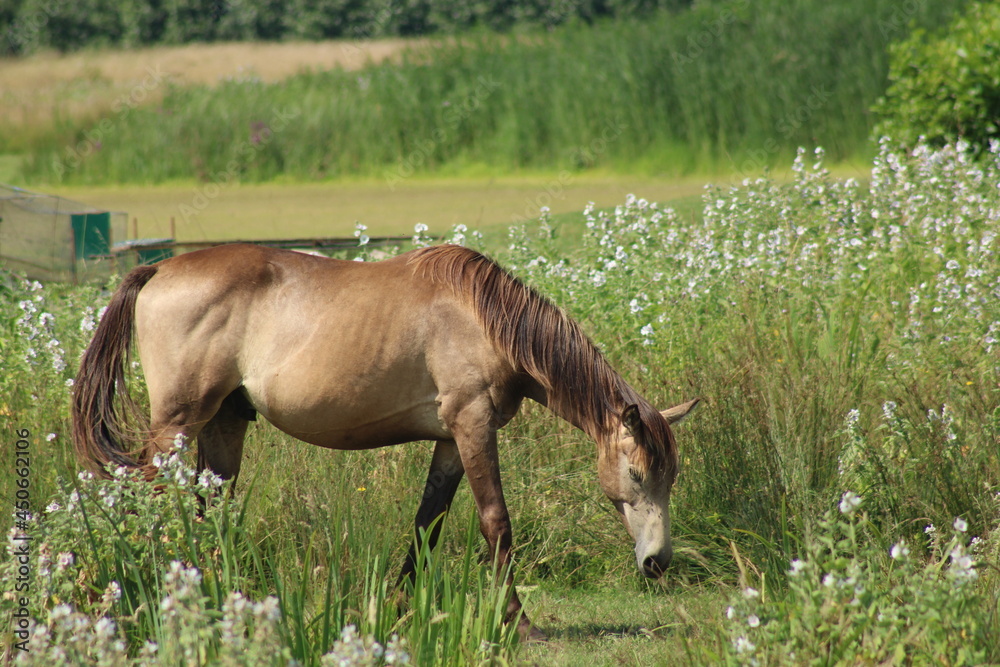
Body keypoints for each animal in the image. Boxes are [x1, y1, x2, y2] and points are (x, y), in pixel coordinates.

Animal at [71, 243, 699, 640]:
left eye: (670, 477)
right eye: (638, 474)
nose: (657, 563)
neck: (483, 316)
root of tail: (158, 269)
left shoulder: (450, 440)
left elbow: (428, 523)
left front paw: (397, 611)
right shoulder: (473, 424)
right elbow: (496, 523)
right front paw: (519, 623)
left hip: (224, 424)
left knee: (210, 512)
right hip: (176, 426)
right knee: (151, 505)